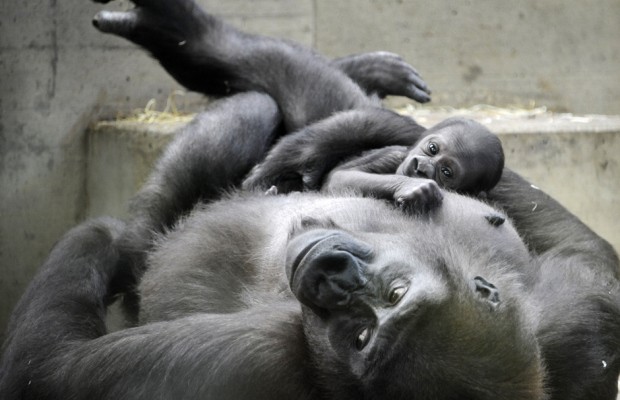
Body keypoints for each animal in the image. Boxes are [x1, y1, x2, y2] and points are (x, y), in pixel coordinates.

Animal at [324, 116, 504, 212]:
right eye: (433, 148)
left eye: (446, 172)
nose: (421, 167)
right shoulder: (394, 155)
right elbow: (340, 177)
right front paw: (410, 186)